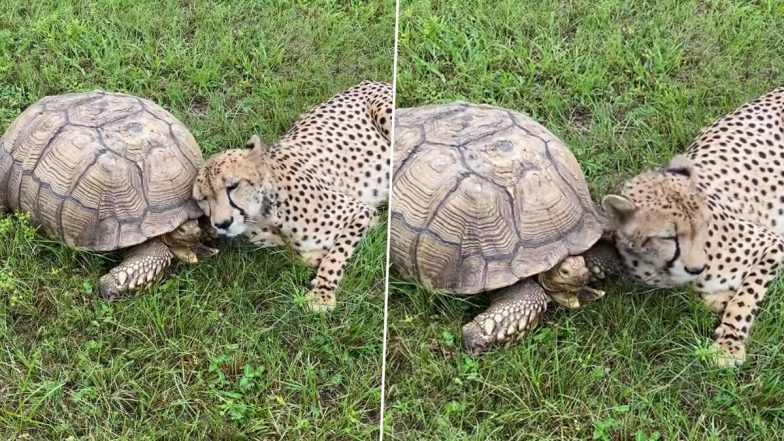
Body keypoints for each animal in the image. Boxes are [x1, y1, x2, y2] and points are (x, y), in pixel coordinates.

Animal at [194, 81, 396, 312]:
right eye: (203, 199)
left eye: (233, 186)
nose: (222, 223)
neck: (264, 214)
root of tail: (374, 82)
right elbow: (297, 252)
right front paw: (313, 258)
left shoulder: (361, 211)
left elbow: (336, 255)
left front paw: (322, 294)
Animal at [604, 85, 784, 364]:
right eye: (669, 237)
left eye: (703, 225)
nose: (698, 267)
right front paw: (717, 299)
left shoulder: (772, 243)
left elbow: (745, 297)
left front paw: (729, 343)